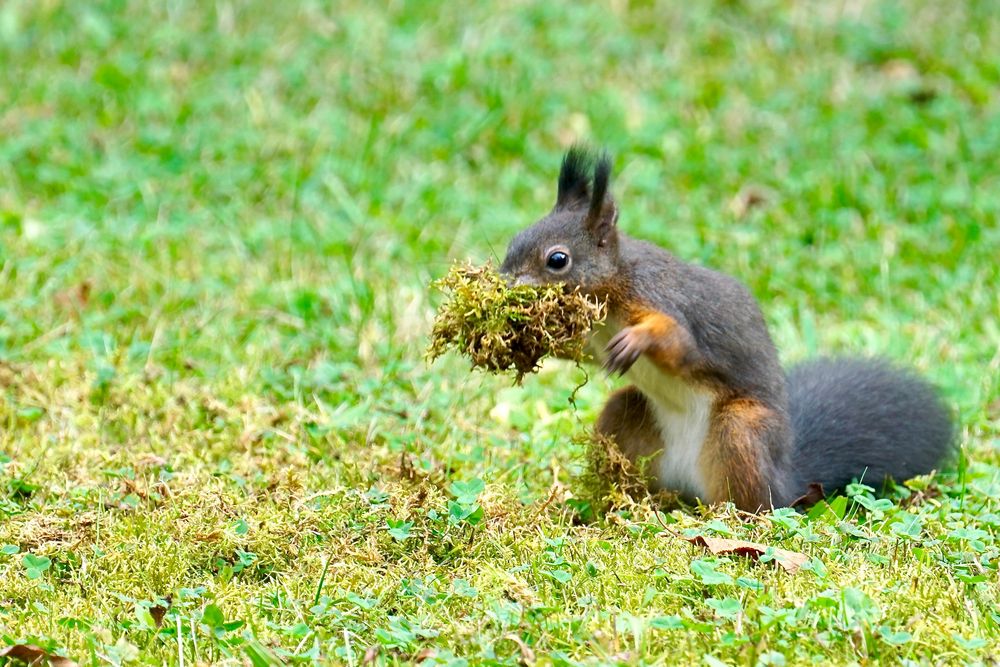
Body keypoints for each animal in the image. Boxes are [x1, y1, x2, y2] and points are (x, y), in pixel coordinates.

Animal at [500, 146, 952, 512]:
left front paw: (637, 339)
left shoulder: (660, 299)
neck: (612, 290)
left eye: (558, 260)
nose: (503, 282)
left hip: (739, 432)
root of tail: (785, 479)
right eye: (514, 240)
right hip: (628, 421)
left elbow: (680, 344)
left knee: (756, 503)